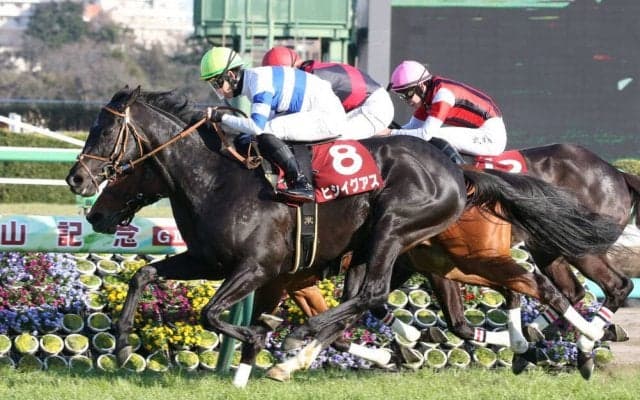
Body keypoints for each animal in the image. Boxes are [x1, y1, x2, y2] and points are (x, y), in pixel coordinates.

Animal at [67, 87, 621, 383]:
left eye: (104, 133)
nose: (78, 181)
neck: (218, 180)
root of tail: (455, 169)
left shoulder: (259, 268)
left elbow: (214, 314)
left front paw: (264, 343)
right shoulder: (210, 262)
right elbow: (143, 276)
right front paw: (121, 345)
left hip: (399, 228)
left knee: (384, 293)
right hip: (425, 255)